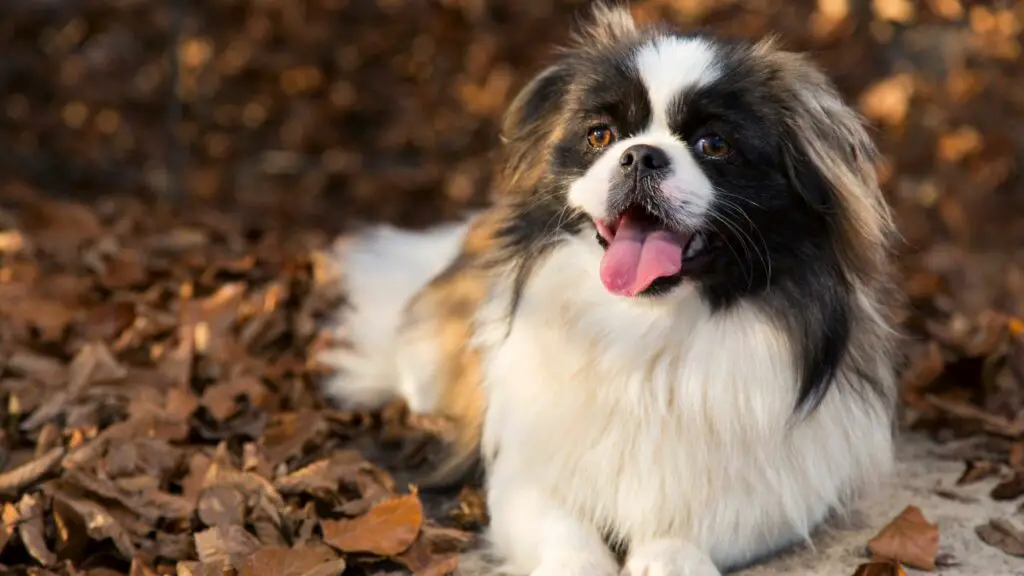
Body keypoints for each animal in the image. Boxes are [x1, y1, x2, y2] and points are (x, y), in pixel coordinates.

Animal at [319, 4, 897, 573]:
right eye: (600, 135)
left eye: (715, 145)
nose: (641, 155)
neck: (645, 326)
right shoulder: (525, 478)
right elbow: (567, 539)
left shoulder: (773, 492)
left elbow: (689, 532)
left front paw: (667, 556)